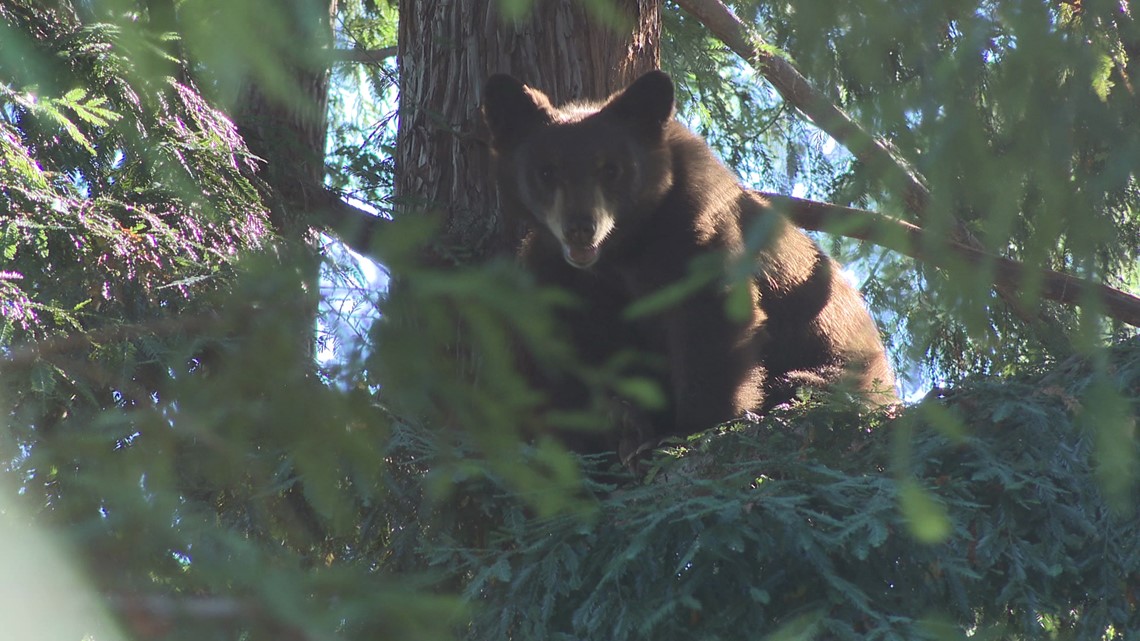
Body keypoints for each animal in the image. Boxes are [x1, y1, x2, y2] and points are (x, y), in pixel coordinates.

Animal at [481, 70, 897, 461]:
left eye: (611, 169)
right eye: (547, 171)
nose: (581, 228)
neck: (622, 253)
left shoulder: (696, 232)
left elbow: (711, 326)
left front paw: (689, 430)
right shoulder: (558, 274)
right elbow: (575, 350)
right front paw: (620, 423)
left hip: (847, 364)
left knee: (807, 383)